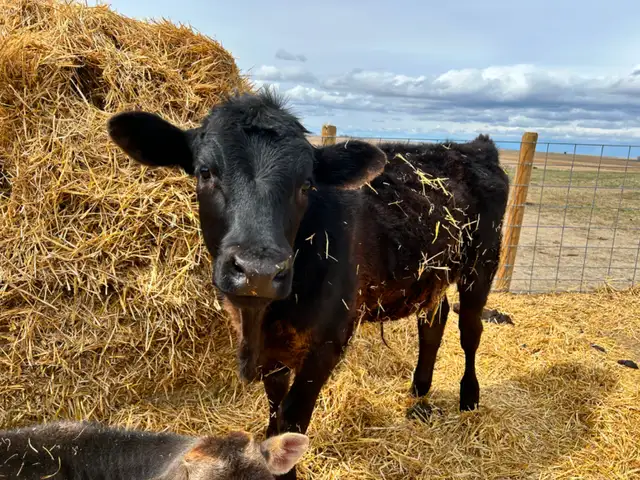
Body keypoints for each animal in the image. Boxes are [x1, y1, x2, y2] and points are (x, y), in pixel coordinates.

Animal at [107, 87, 510, 479]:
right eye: (205, 172)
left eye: (306, 184)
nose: (258, 271)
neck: (263, 320)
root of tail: (472, 147)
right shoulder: (274, 353)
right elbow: (274, 408)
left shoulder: (327, 343)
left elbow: (292, 418)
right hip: (432, 275)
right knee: (433, 322)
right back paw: (418, 391)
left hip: (482, 264)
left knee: (469, 329)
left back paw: (469, 397)